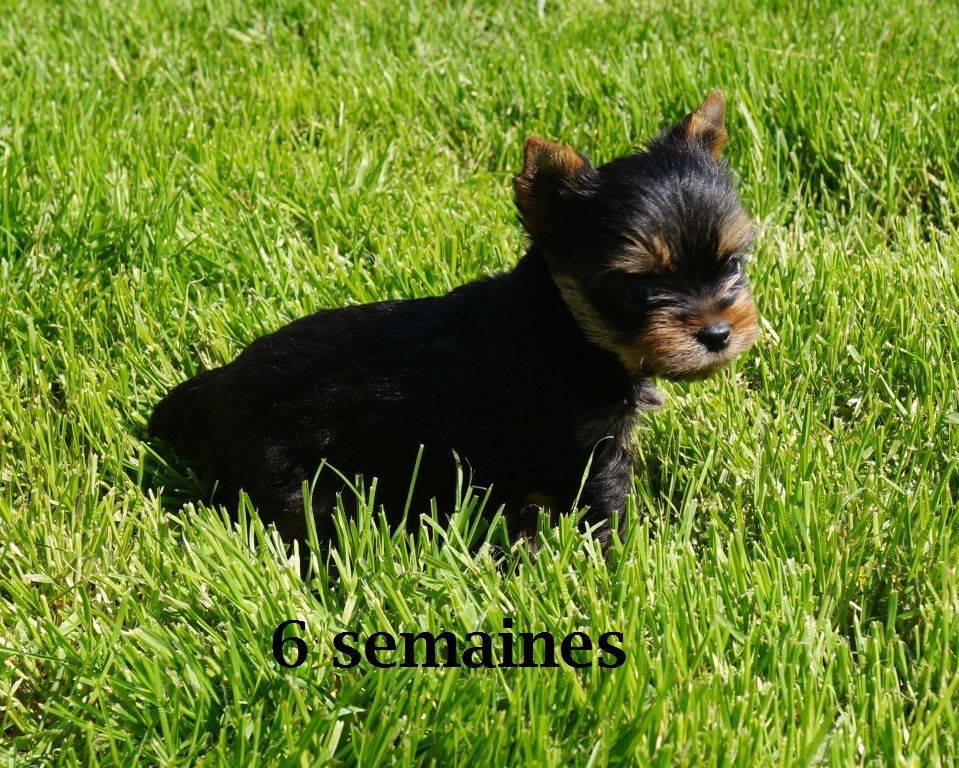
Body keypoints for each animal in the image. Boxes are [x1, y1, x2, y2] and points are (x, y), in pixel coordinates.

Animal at [148, 91, 756, 544]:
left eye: (733, 263)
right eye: (638, 290)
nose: (717, 333)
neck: (566, 331)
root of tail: (220, 382)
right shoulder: (584, 449)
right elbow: (602, 510)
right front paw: (623, 560)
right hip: (289, 474)